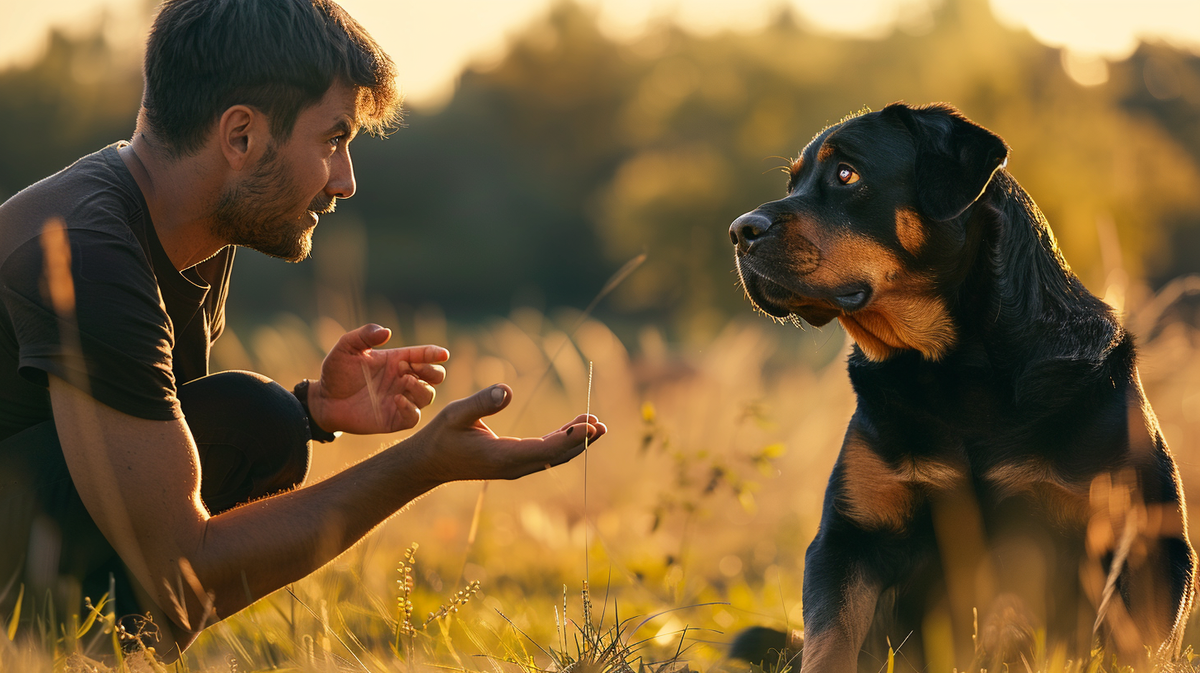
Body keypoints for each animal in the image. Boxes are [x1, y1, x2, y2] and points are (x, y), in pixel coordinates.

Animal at [724, 102, 1195, 667]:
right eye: (793, 181)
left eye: (846, 174)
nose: (739, 230)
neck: (956, 372)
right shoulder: (848, 539)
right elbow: (830, 644)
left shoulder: (1145, 544)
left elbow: (1134, 647)